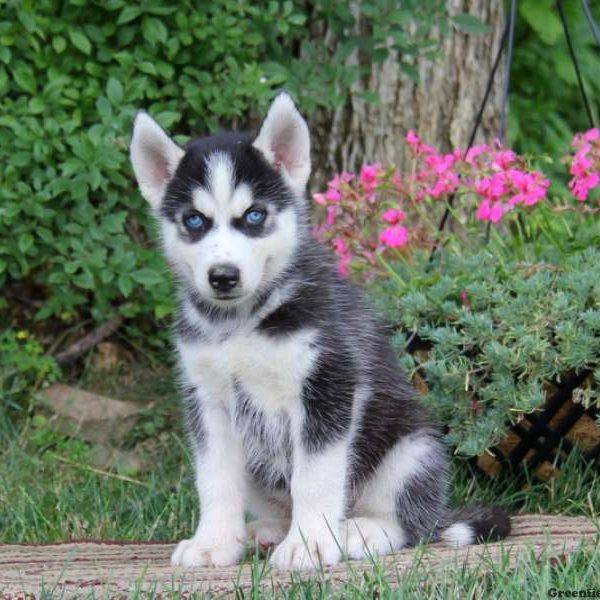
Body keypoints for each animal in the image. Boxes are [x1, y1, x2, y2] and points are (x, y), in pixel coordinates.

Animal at [129, 91, 508, 568]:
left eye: (254, 216)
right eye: (194, 220)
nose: (223, 276)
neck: (242, 323)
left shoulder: (327, 387)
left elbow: (314, 478)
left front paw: (308, 545)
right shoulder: (209, 401)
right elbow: (214, 479)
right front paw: (214, 542)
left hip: (412, 448)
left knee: (409, 525)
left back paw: (356, 533)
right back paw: (267, 531)